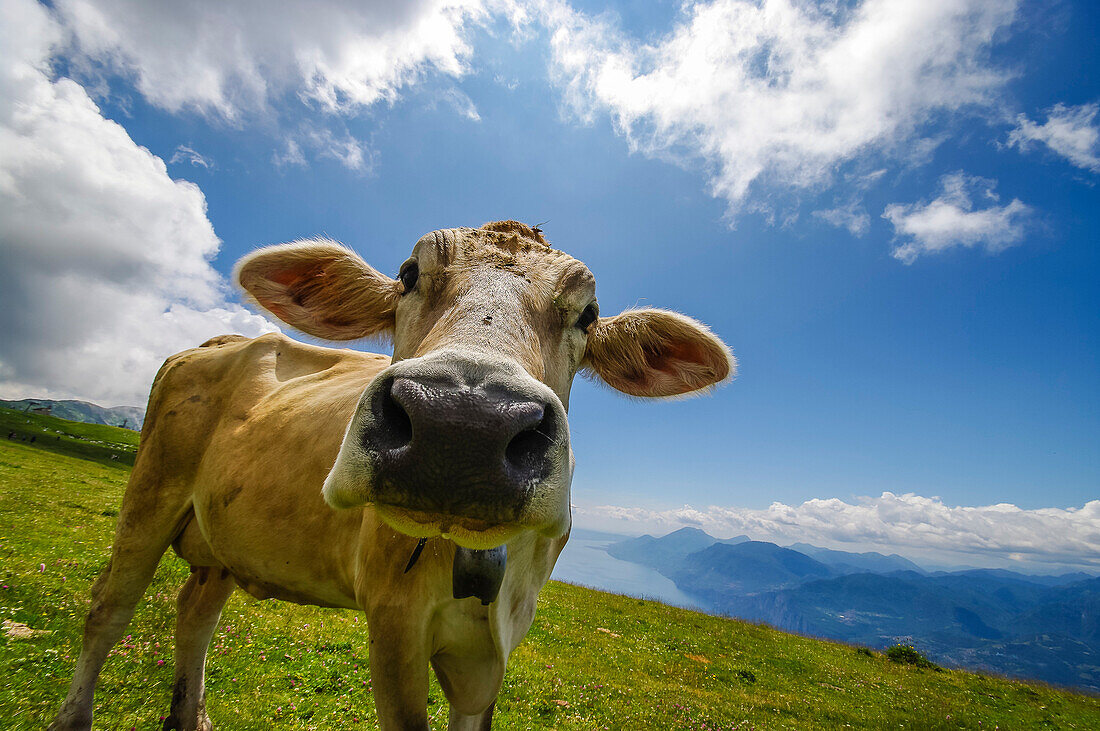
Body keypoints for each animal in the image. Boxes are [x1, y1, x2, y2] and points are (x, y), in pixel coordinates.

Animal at [47, 220, 734, 729]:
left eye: (588, 314)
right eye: (407, 275)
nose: (462, 424)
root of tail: (218, 342)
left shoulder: (498, 648)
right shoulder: (394, 619)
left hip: (225, 537)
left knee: (194, 612)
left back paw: (190, 717)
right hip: (150, 492)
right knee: (109, 607)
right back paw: (74, 717)